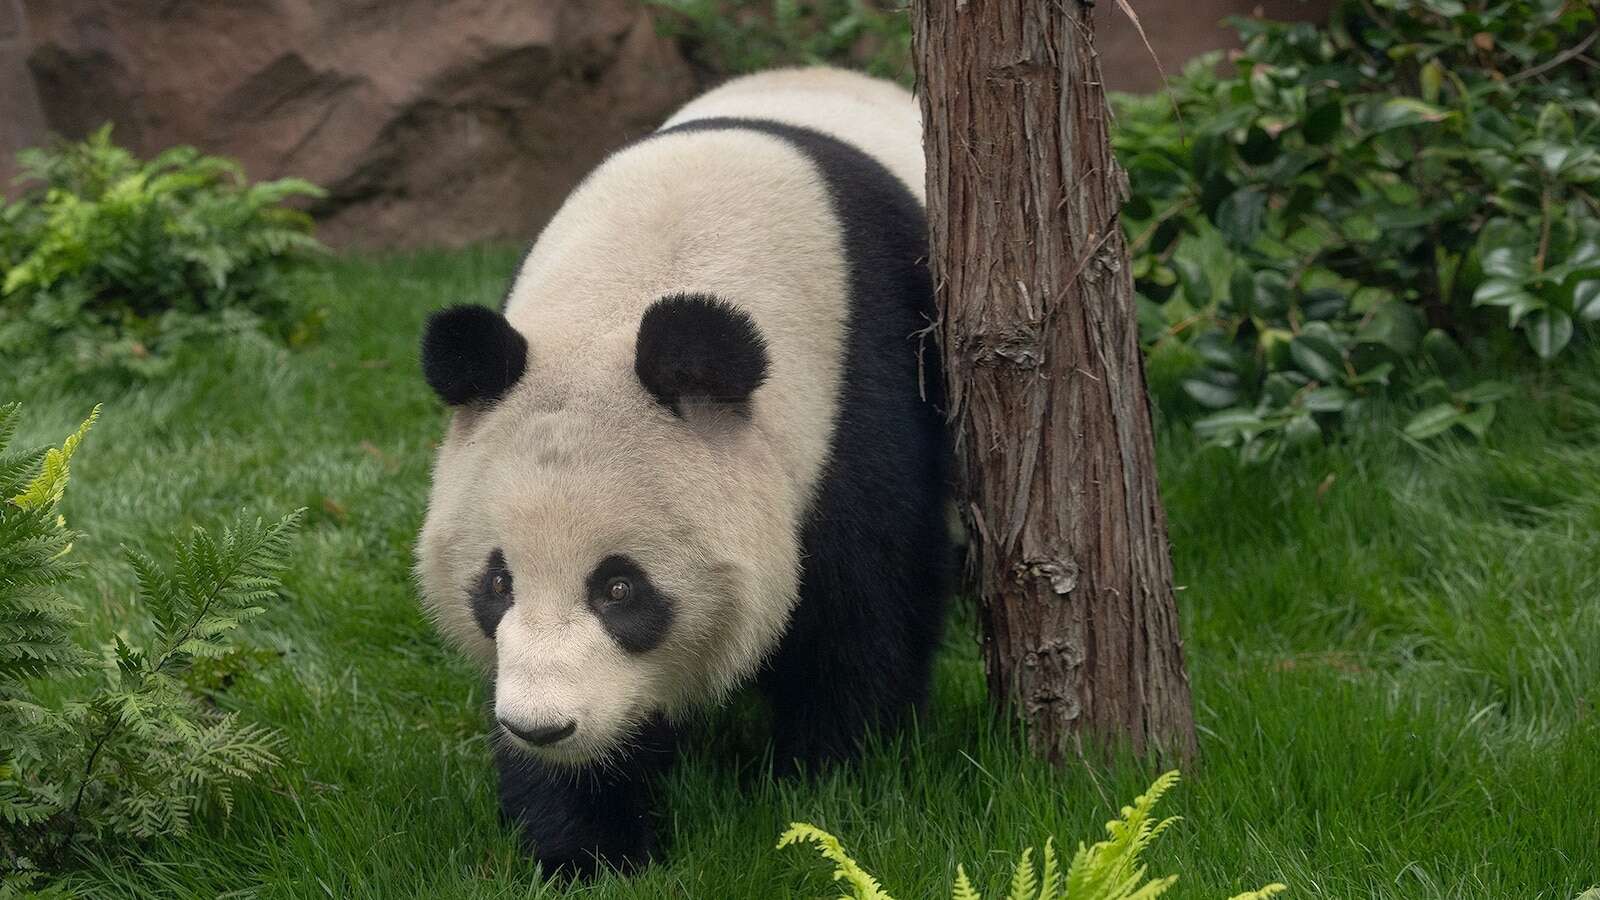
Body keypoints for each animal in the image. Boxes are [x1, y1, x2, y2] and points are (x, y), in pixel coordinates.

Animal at [419, 68, 953, 877]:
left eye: (619, 587)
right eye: (498, 582)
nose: (542, 726)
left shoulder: (864, 393)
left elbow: (866, 610)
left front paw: (823, 780)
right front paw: (587, 841)